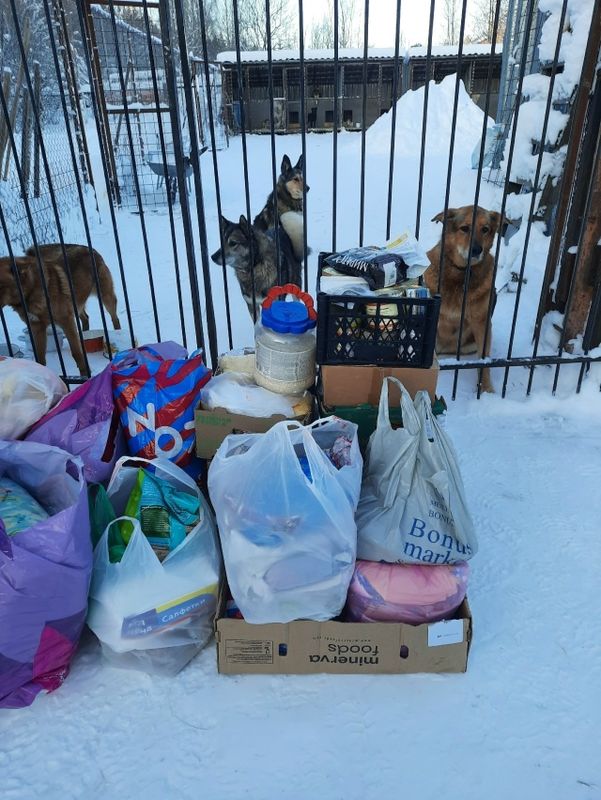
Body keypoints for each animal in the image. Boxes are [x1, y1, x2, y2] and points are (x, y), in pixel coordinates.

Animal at [0, 244, 121, 375]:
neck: (31, 291)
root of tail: (91, 249)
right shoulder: (37, 328)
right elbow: (40, 358)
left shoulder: (66, 321)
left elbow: (77, 353)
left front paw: (85, 374)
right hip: (77, 304)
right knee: (85, 318)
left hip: (105, 298)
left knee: (115, 318)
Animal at [424, 206, 503, 393]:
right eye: (464, 228)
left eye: (485, 229)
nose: (476, 250)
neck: (461, 274)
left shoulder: (482, 324)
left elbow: (484, 362)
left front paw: (486, 390)